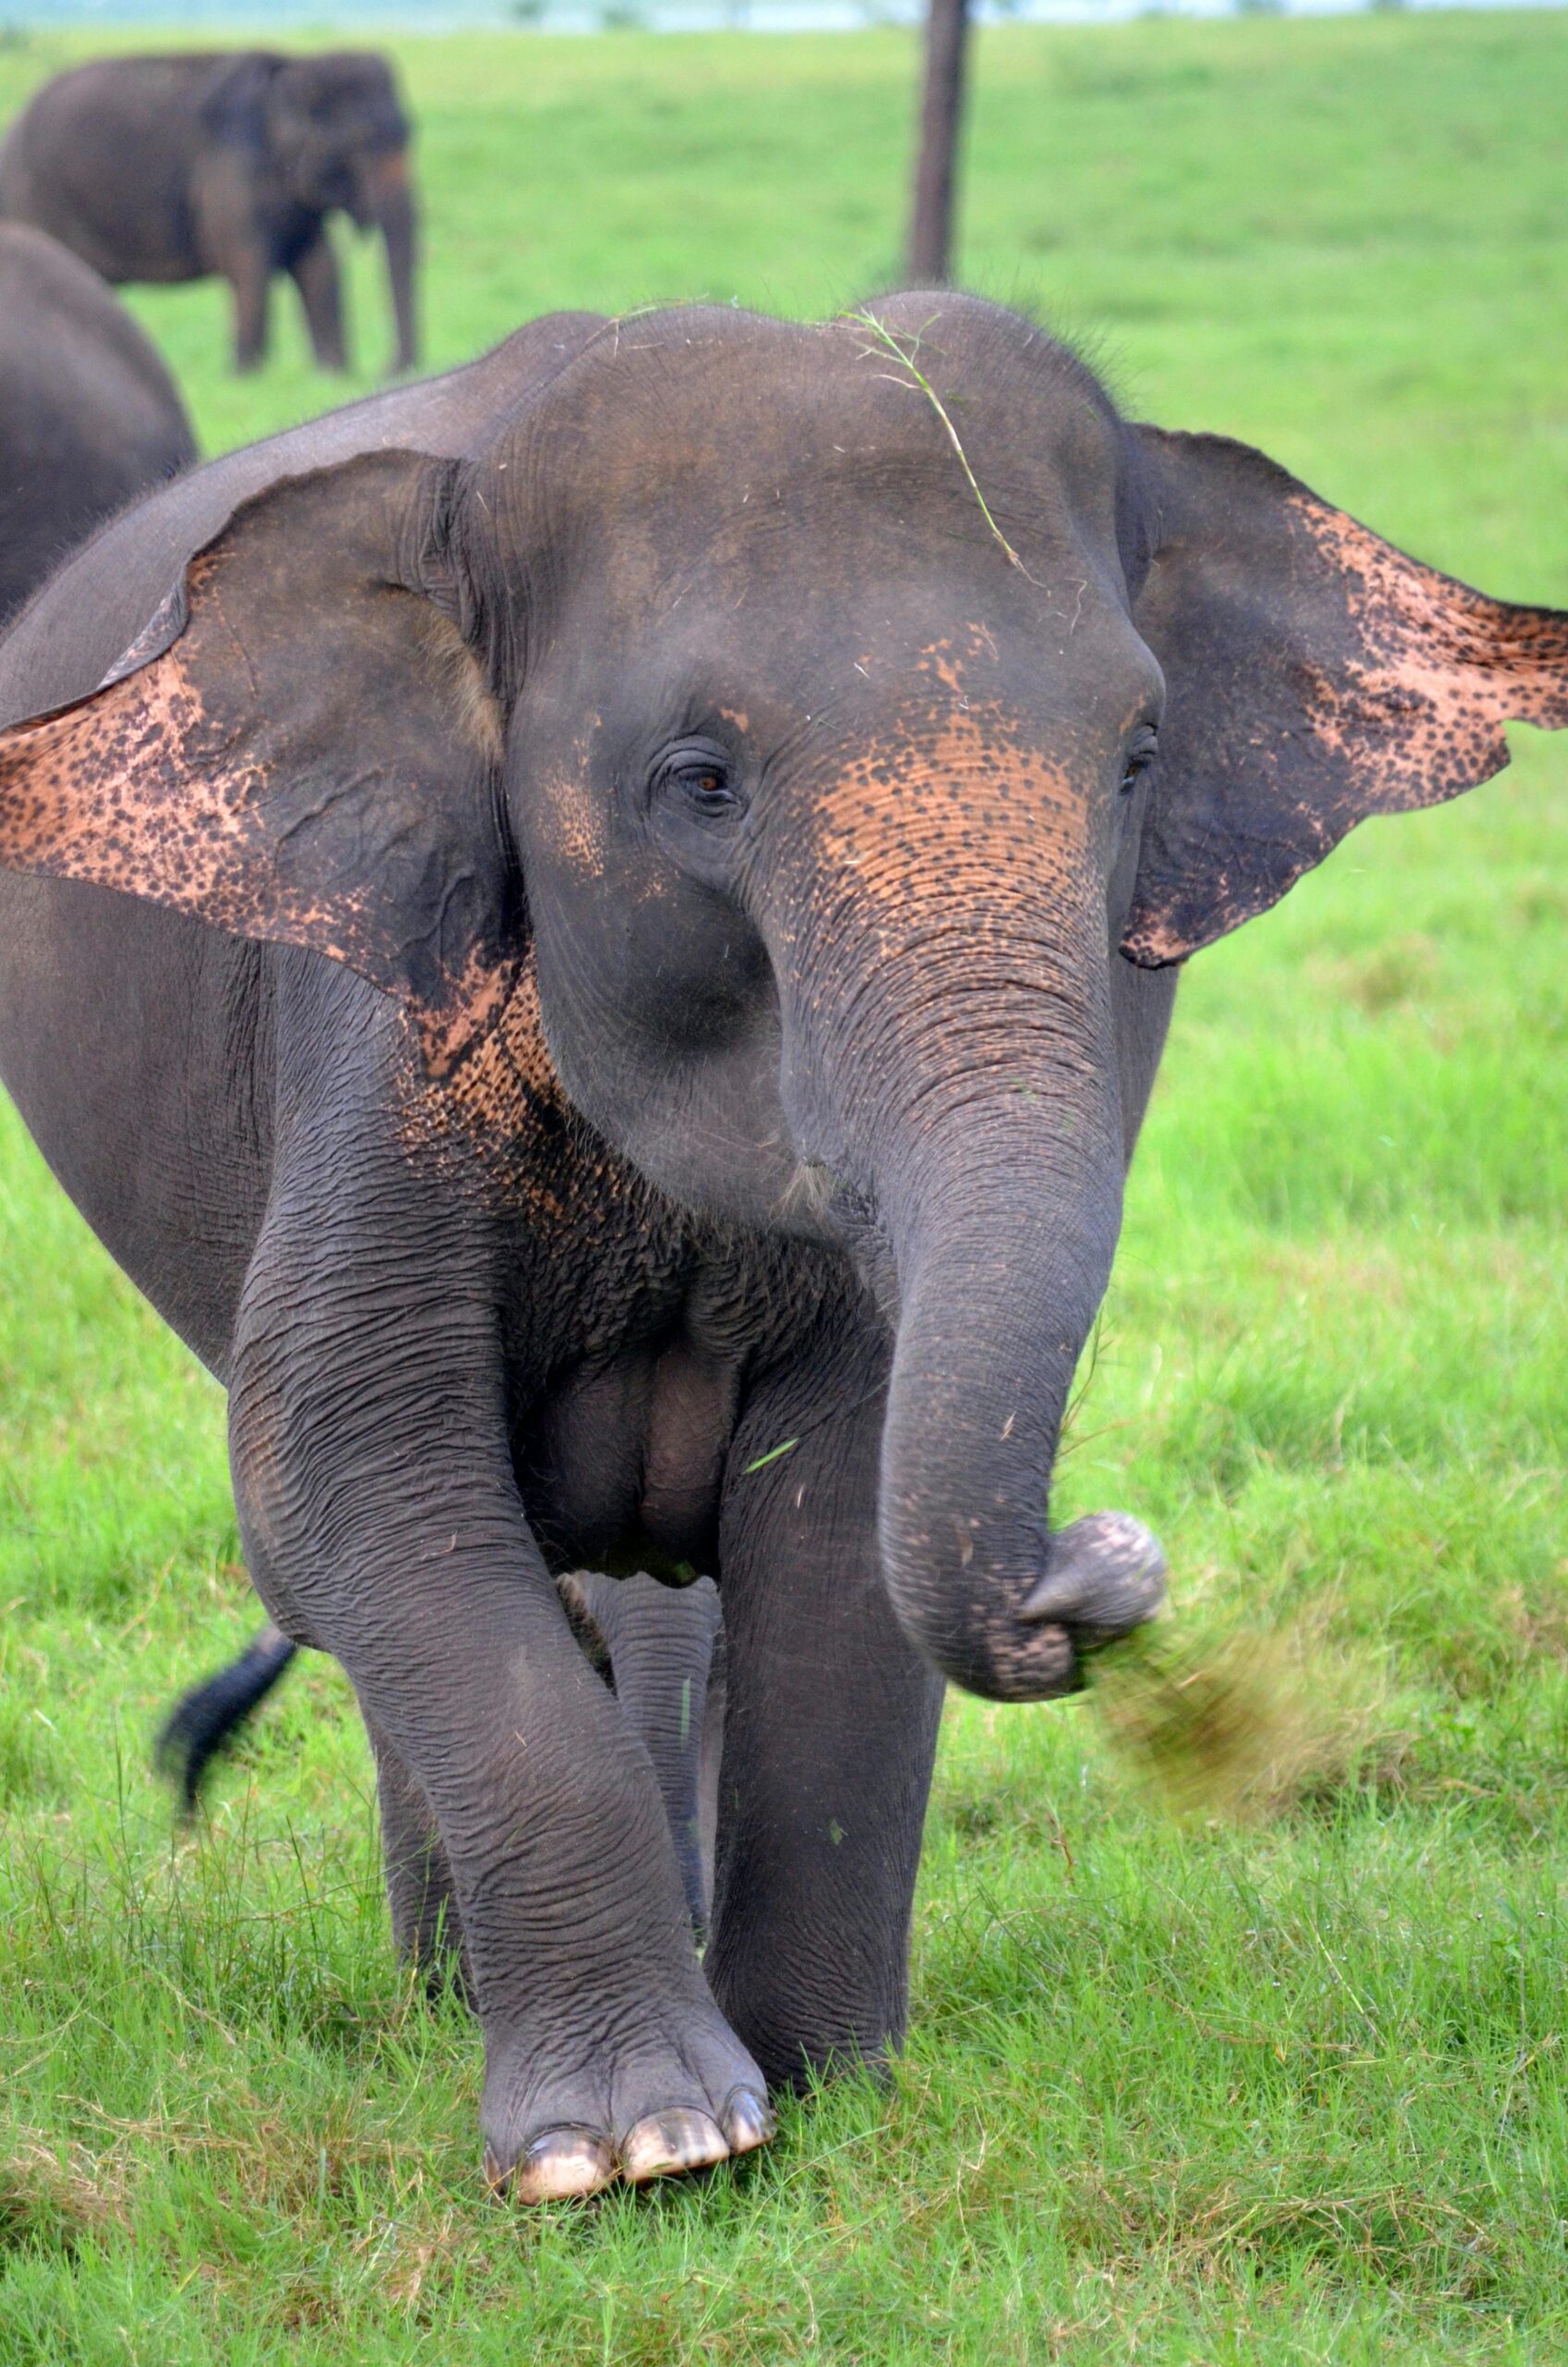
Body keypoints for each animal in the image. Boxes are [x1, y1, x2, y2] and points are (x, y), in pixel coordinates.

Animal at [0, 52, 418, 378]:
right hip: (32, 202)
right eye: (358, 144)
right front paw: (247, 377)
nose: (387, 370)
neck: (298, 67)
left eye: (408, 134)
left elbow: (320, 266)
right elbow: (250, 263)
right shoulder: (231, 170)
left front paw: (331, 376)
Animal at [0, 294, 1562, 2203]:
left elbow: (839, 1512)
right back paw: (451, 2004)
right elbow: (347, 1466)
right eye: (701, 781)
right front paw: (640, 2150)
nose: (1093, 1572)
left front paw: (823, 2099)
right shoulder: (374, 1033)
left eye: (1136, 758)